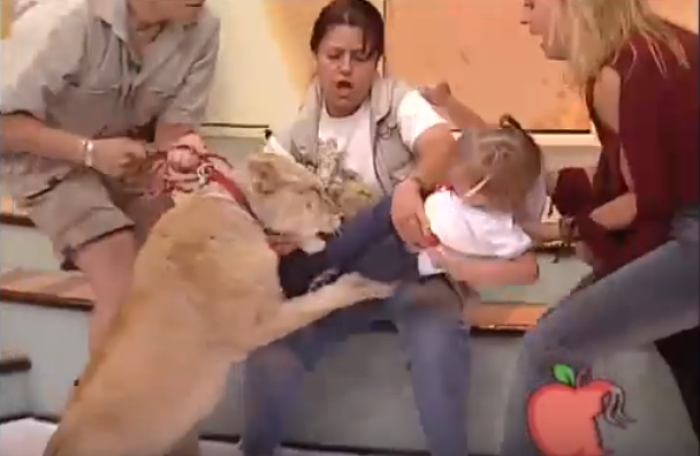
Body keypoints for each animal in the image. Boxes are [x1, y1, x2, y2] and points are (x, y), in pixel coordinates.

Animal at [42, 151, 395, 456]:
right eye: (315, 190)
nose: (340, 215)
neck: (239, 207)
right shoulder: (256, 326)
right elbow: (321, 301)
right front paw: (367, 284)